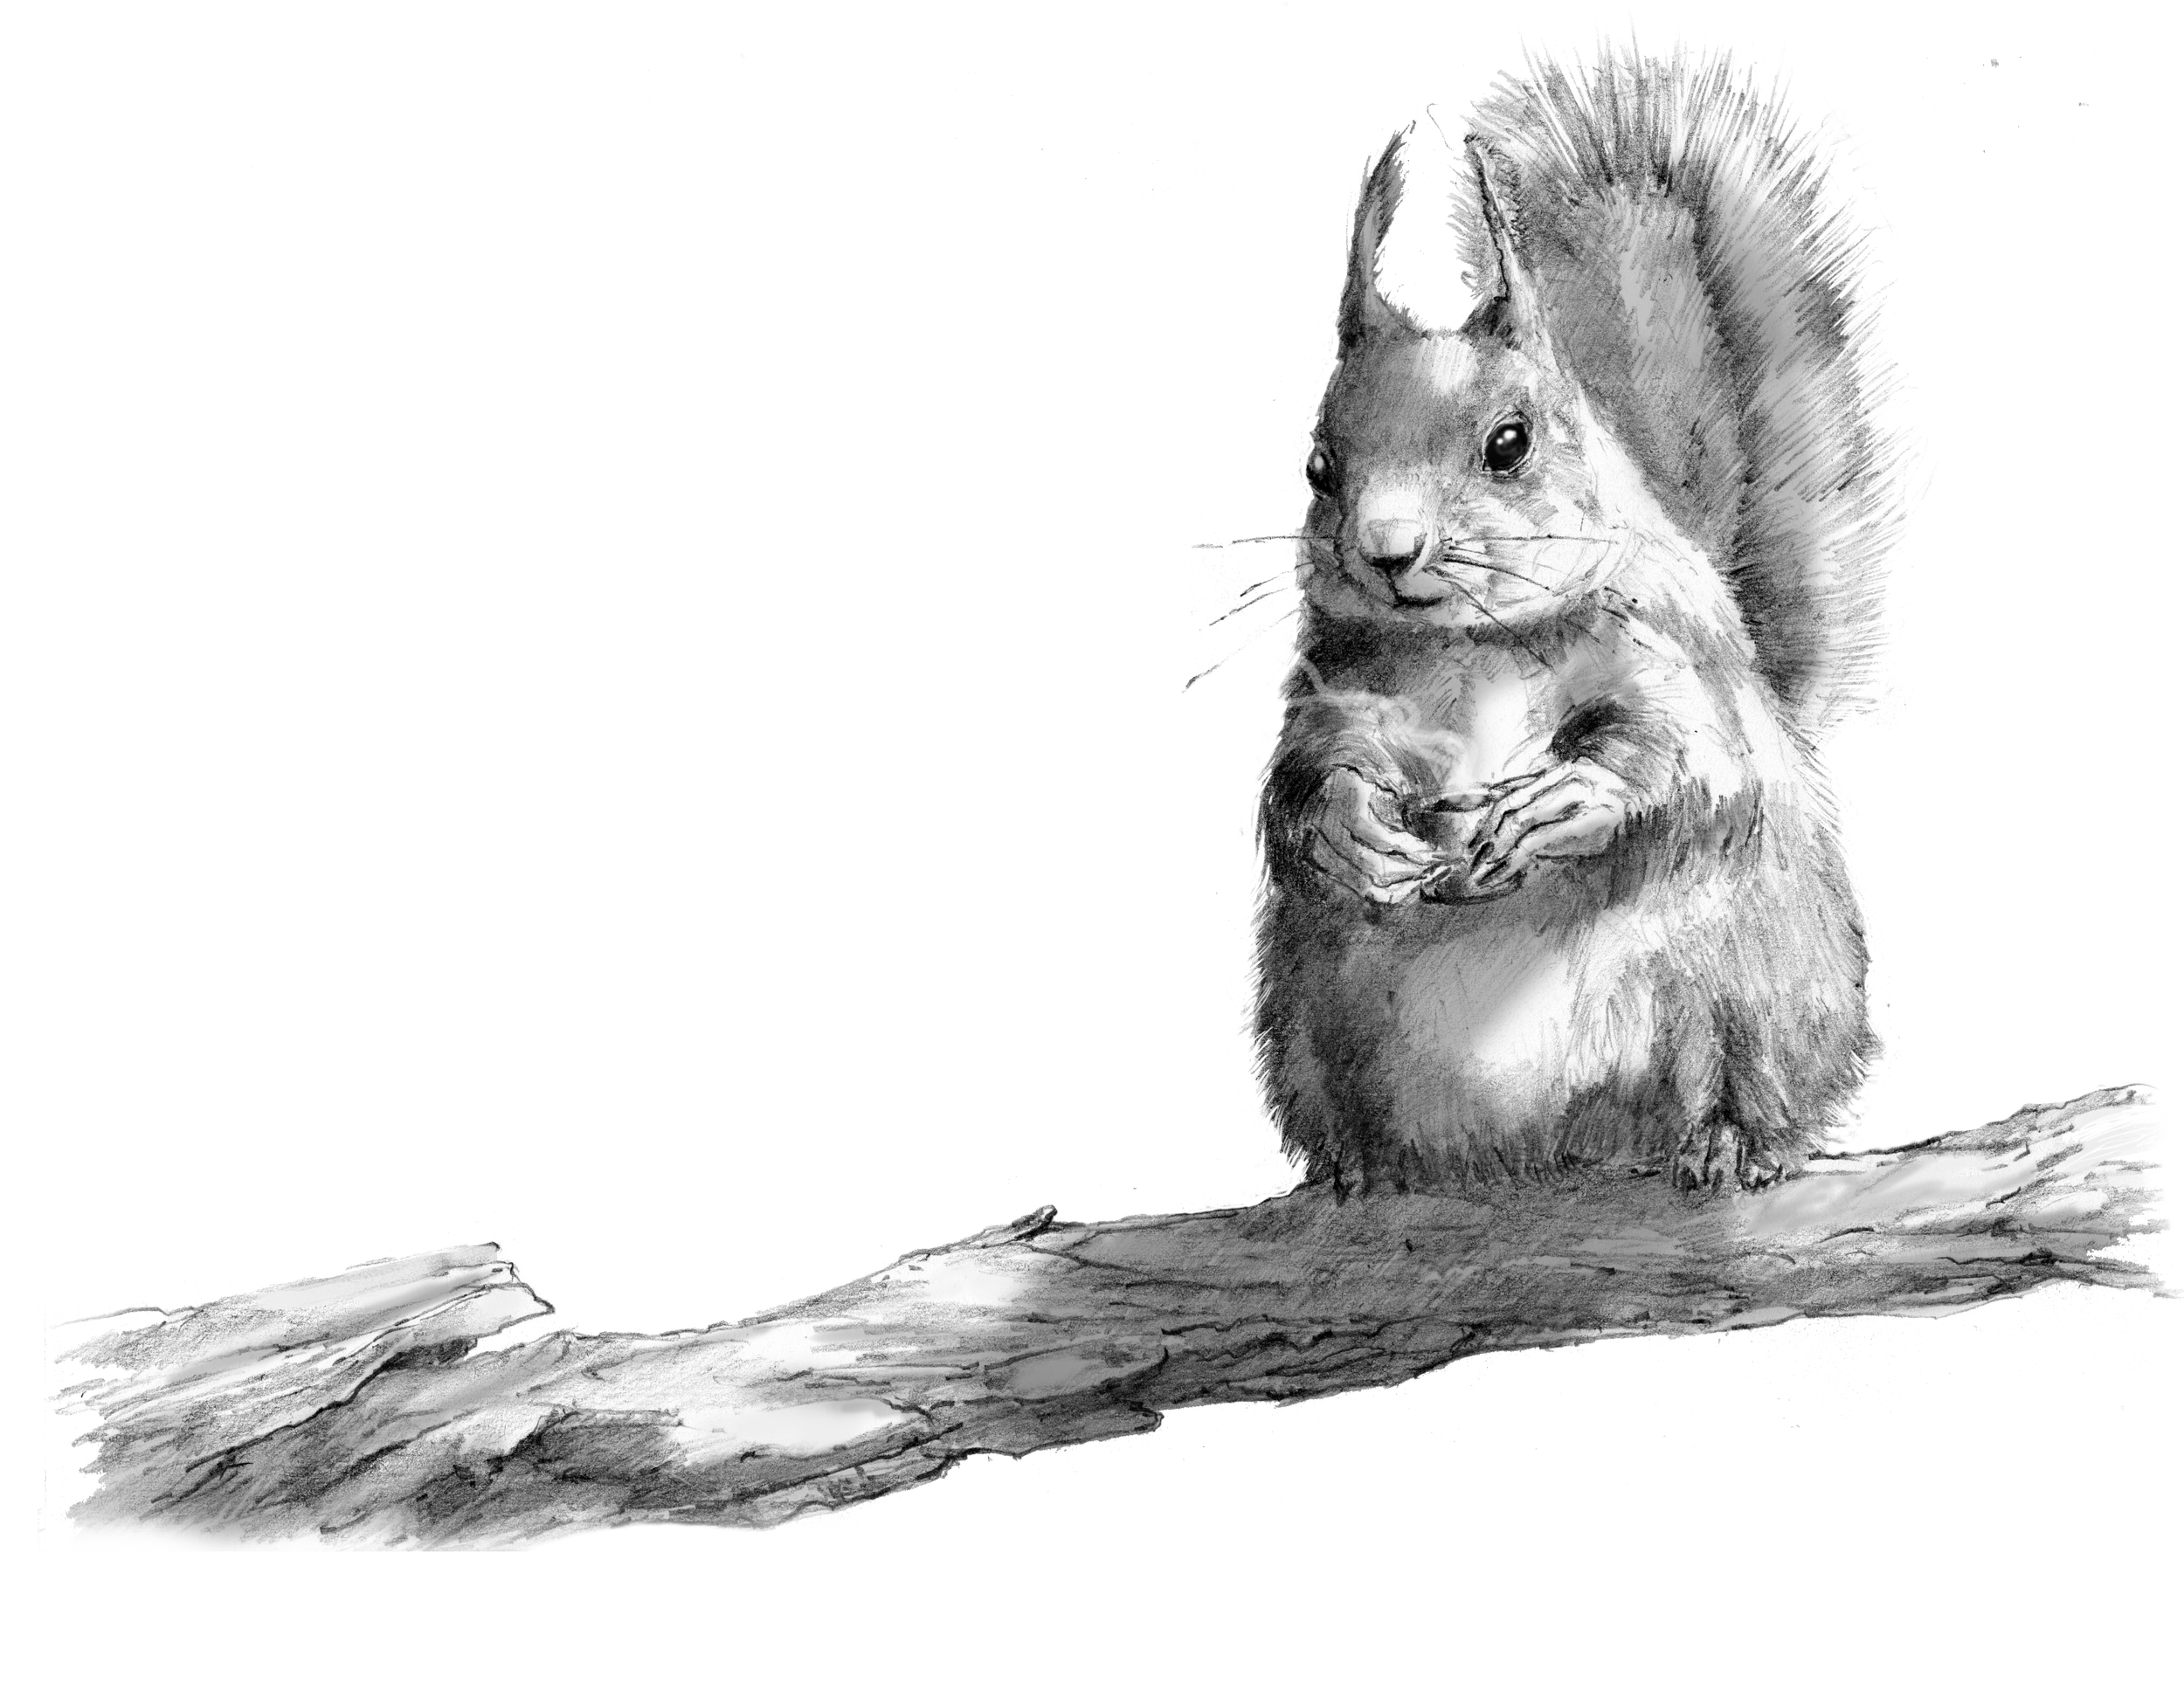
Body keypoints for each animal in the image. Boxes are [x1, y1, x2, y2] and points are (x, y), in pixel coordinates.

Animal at [1251, 44, 1917, 1200]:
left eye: (1509, 443)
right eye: (1320, 469)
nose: (1385, 551)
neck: (1467, 649)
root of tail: (1538, 1144)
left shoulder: (1671, 652)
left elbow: (1692, 763)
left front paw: (1559, 803)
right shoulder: (1333, 690)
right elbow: (1295, 783)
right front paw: (1347, 828)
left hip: (1754, 991)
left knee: (1752, 1077)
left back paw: (1731, 1140)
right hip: (1300, 1022)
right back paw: (1356, 1167)